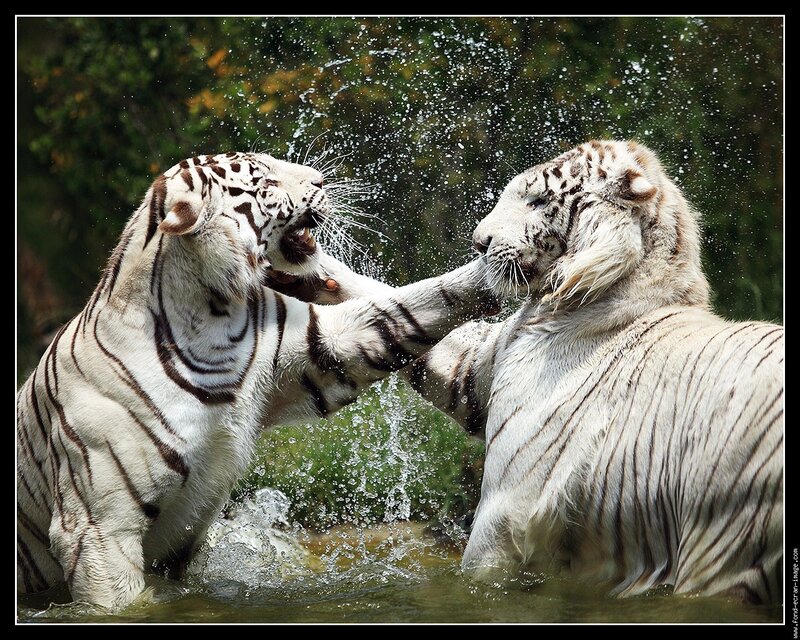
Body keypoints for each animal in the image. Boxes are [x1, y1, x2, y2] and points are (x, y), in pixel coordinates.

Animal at [15, 151, 496, 610]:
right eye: (264, 180)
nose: (321, 179)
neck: (212, 321)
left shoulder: (324, 346)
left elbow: (412, 304)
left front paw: (503, 260)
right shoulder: (101, 527)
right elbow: (119, 601)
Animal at [300, 140, 784, 604]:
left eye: (536, 201)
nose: (478, 243)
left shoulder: (504, 510)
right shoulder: (475, 372)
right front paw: (307, 262)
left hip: (726, 537)